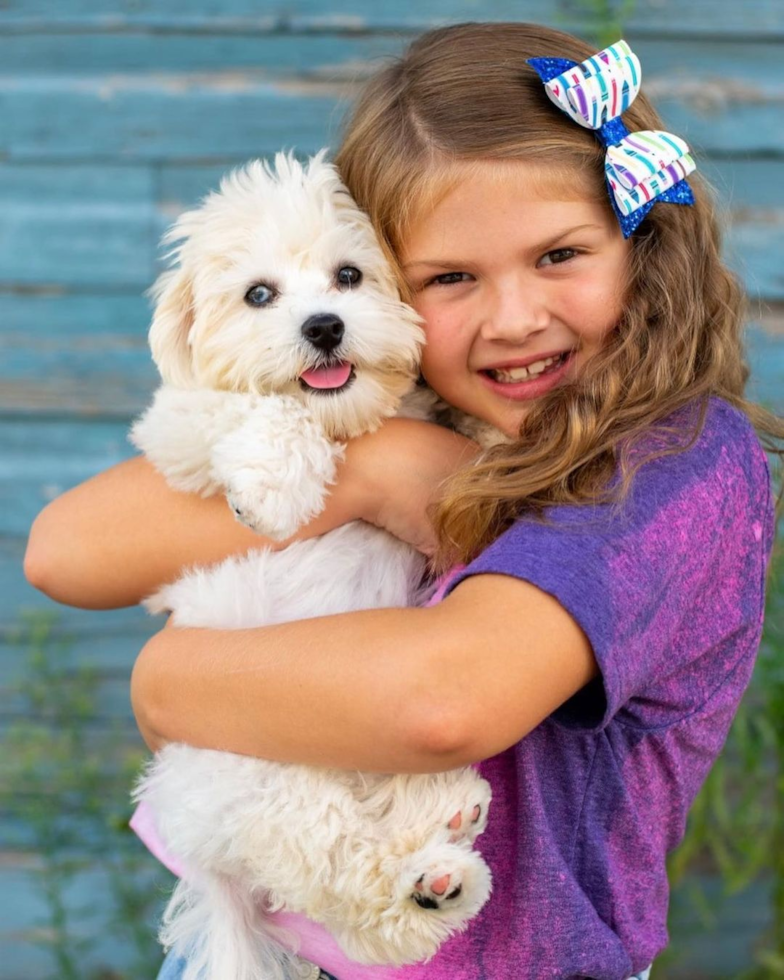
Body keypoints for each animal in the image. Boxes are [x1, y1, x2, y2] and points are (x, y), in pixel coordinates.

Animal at [132, 153, 494, 980]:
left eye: (349, 276)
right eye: (259, 295)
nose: (324, 325)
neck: (351, 422)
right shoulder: (178, 425)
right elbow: (258, 410)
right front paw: (275, 489)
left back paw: (448, 824)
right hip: (278, 777)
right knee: (352, 890)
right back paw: (433, 886)